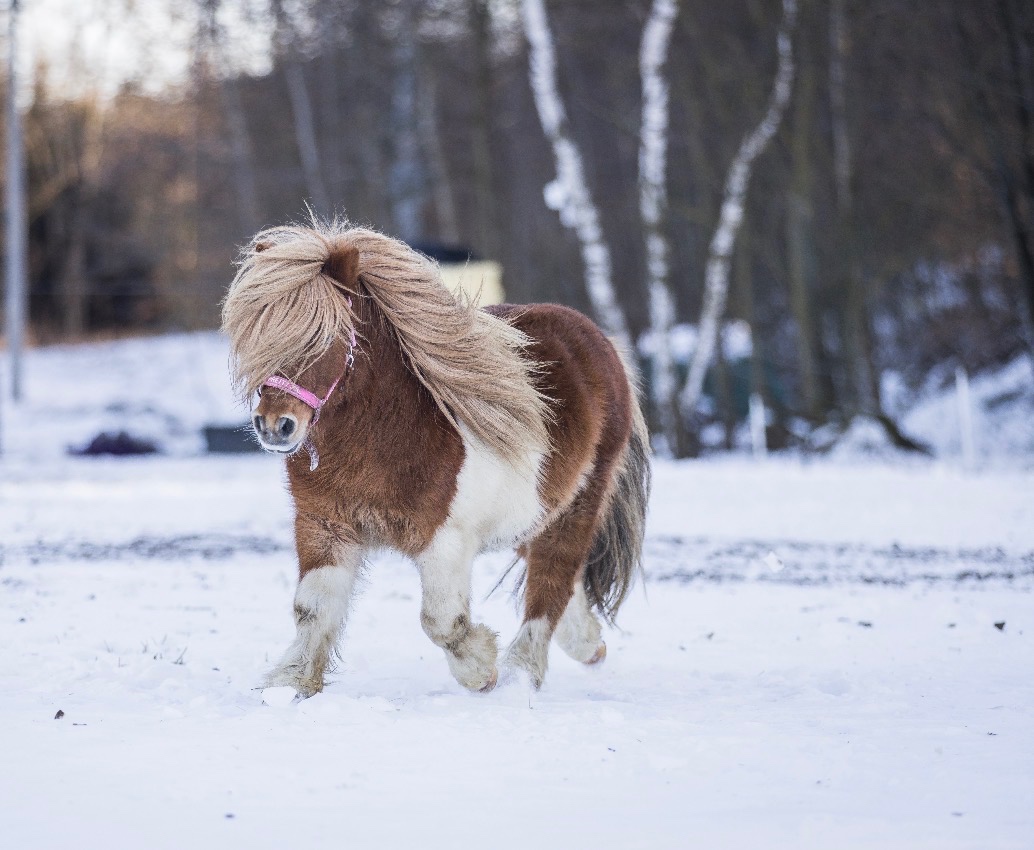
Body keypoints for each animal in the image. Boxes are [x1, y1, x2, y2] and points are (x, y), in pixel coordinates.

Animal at [221, 219, 651, 697]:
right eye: (259, 335)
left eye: (325, 337)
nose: (274, 426)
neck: (385, 434)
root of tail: (601, 342)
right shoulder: (324, 527)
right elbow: (311, 608)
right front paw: (290, 684)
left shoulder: (444, 541)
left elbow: (441, 621)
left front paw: (481, 669)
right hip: (536, 510)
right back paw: (588, 645)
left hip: (581, 501)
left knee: (552, 576)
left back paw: (521, 674)